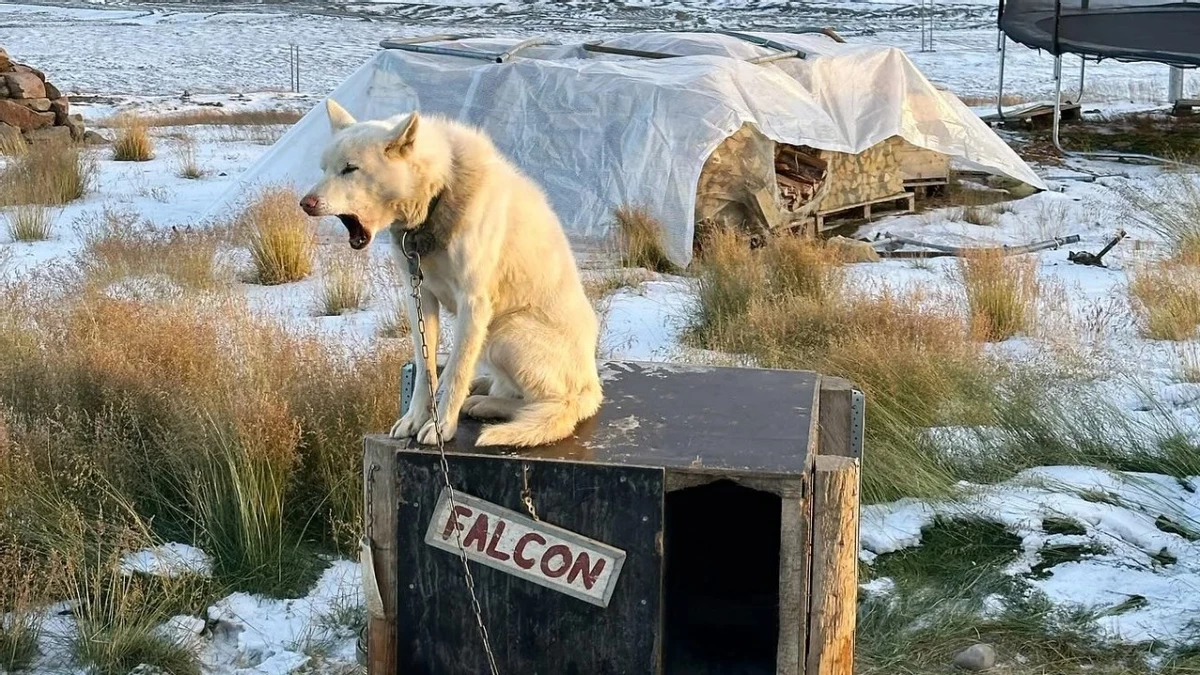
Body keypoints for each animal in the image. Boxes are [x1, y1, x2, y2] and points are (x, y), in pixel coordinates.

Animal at [300, 99, 600, 446]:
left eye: (350, 169)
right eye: (324, 169)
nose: (305, 203)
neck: (439, 194)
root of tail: (592, 387)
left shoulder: (473, 303)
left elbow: (456, 369)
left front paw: (441, 426)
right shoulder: (419, 296)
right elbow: (426, 368)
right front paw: (414, 418)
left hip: (503, 333)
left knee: (551, 404)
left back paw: (487, 403)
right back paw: (484, 391)